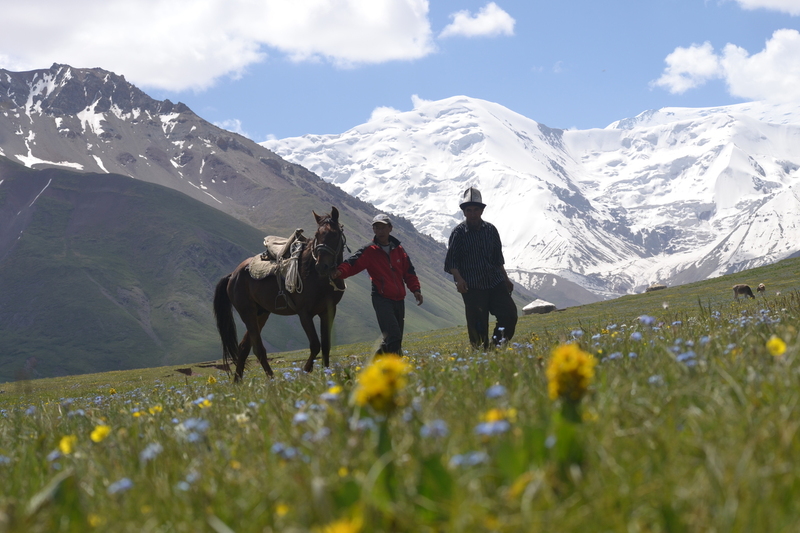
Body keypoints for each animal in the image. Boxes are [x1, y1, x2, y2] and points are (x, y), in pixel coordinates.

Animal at [214, 206, 346, 380]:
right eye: (318, 235)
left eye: (335, 234)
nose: (321, 266)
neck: (316, 278)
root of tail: (232, 275)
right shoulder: (304, 314)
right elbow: (315, 345)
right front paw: (305, 371)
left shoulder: (328, 311)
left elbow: (326, 345)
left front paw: (327, 375)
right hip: (247, 313)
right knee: (258, 350)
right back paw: (273, 380)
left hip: (261, 314)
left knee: (243, 348)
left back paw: (238, 382)